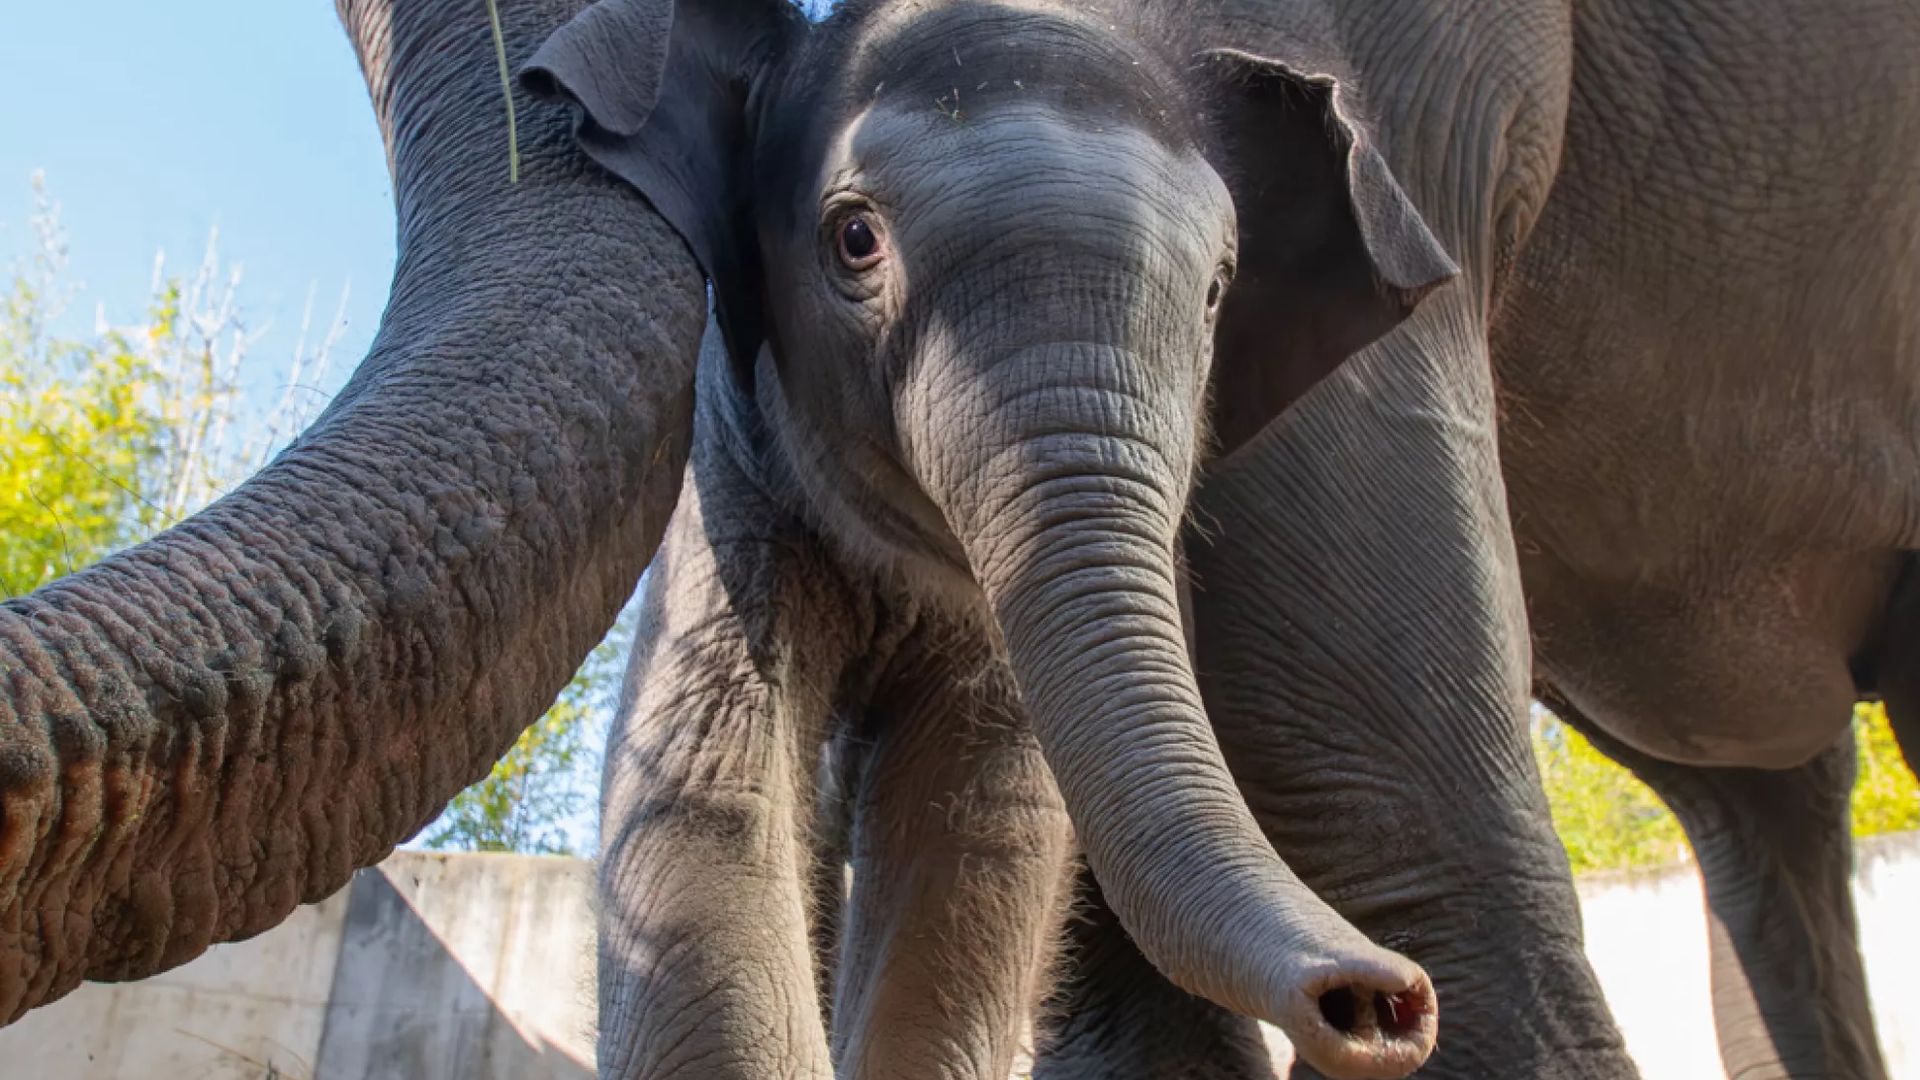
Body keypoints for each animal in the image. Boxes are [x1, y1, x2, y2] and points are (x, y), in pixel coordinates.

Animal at [514, 0, 1474, 1074]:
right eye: (855, 239)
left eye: (1218, 289)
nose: (1383, 1001)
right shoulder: (731, 479)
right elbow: (708, 790)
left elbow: (978, 834)